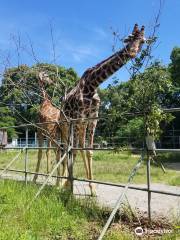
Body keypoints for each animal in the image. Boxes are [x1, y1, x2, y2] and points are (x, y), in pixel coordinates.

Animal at [60, 23, 146, 194]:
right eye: (130, 38)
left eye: (142, 41)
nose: (132, 52)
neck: (93, 84)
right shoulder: (80, 116)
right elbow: (76, 149)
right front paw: (68, 186)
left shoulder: (93, 117)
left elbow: (88, 149)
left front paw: (93, 188)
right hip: (66, 124)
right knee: (66, 147)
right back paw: (60, 183)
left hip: (78, 124)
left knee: (75, 147)